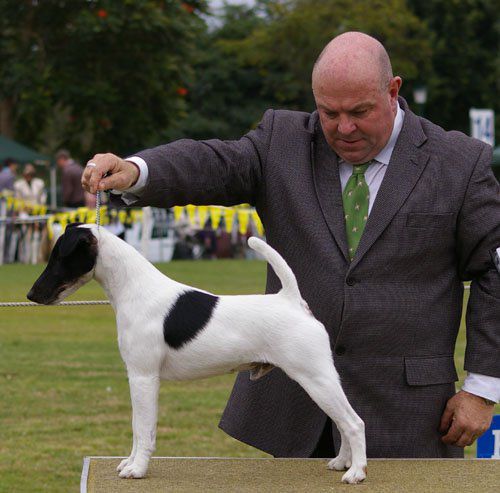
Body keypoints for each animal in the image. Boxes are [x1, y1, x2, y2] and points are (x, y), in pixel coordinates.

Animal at [28, 224, 368, 484]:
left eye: (59, 257)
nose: (31, 295)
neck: (135, 289)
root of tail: (292, 301)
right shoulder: (136, 378)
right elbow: (137, 428)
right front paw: (129, 462)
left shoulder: (143, 377)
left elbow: (144, 429)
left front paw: (137, 469)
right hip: (320, 382)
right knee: (342, 423)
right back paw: (341, 463)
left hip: (316, 378)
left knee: (354, 423)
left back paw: (356, 473)